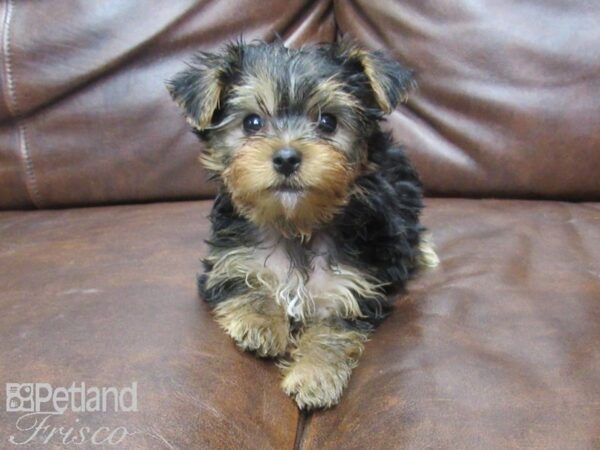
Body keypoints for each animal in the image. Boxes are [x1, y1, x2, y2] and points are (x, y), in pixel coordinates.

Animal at [166, 40, 438, 410]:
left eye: (328, 122)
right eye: (252, 122)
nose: (286, 158)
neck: (296, 223)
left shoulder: (353, 287)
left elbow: (332, 332)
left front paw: (315, 376)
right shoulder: (228, 259)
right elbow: (246, 283)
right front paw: (260, 325)